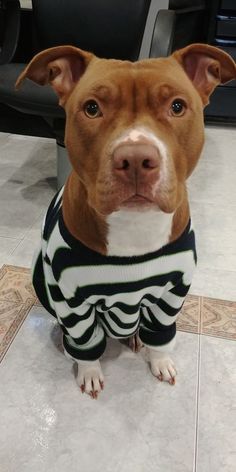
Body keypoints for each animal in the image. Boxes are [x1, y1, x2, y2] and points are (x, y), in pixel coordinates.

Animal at [16, 44, 236, 398]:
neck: (134, 227)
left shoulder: (173, 293)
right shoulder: (71, 301)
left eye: (177, 106)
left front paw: (160, 362)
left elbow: (161, 335)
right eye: (92, 108)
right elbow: (85, 340)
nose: (135, 159)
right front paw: (89, 371)